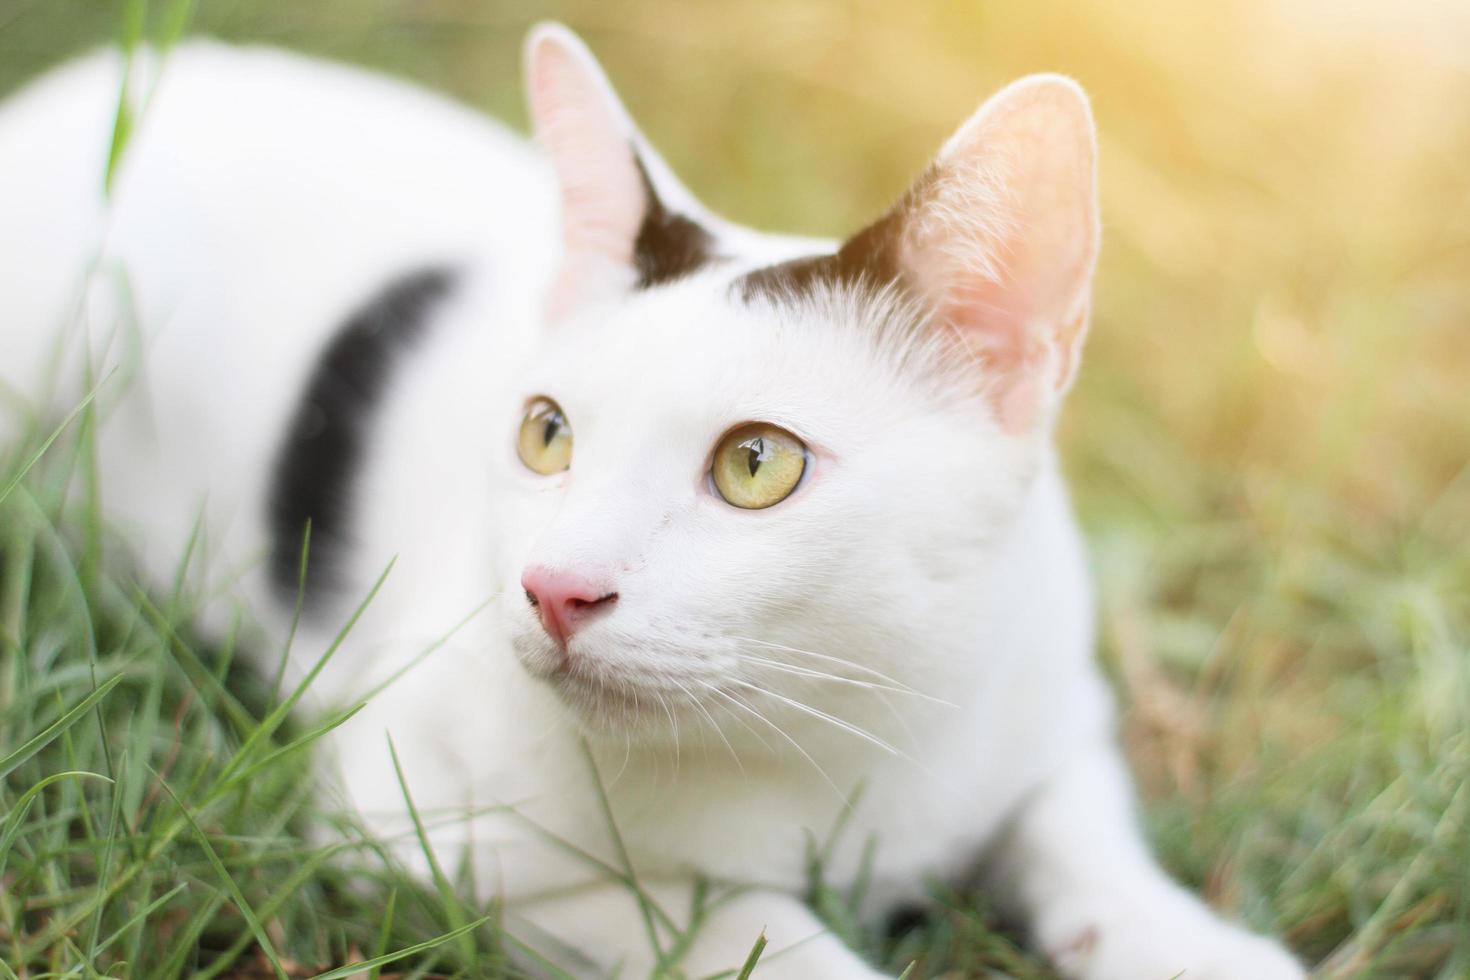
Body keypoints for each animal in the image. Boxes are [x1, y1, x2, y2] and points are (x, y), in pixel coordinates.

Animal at [0, 21, 1311, 980]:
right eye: (545, 435)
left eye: (756, 464)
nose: (552, 588)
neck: (835, 725)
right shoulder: (405, 816)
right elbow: (720, 918)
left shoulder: (1047, 697)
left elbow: (1077, 834)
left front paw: (1193, 945)